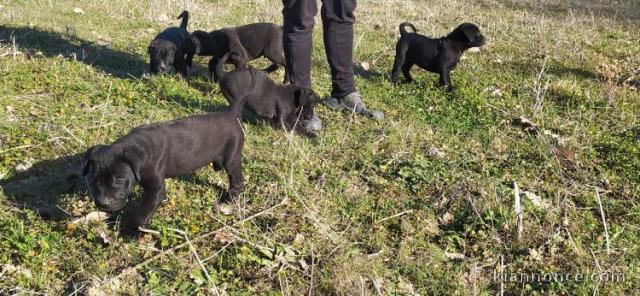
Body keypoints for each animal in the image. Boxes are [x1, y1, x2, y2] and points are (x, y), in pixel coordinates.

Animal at [82, 97, 245, 236]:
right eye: (93, 181)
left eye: (119, 181)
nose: (102, 203)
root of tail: (229, 114)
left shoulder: (156, 190)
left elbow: (143, 210)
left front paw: (132, 229)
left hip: (232, 158)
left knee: (237, 179)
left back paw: (230, 199)